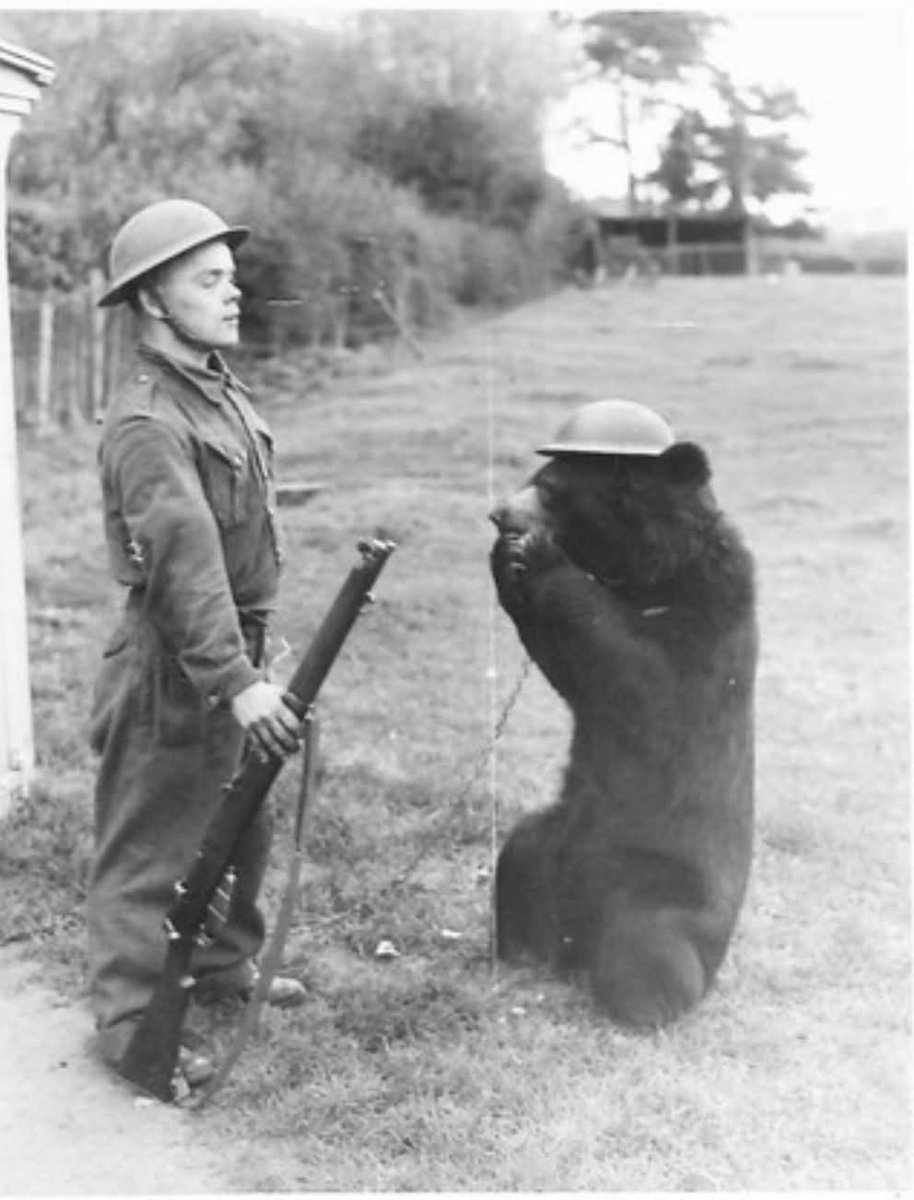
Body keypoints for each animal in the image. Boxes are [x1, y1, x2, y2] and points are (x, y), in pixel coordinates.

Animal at [489, 399, 757, 1029]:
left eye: (552, 488)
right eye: (538, 477)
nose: (497, 515)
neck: (646, 573)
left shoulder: (708, 616)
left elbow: (644, 681)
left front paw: (536, 554)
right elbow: (574, 673)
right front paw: (506, 565)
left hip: (662, 891)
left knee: (650, 950)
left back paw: (643, 1005)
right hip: (550, 837)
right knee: (518, 861)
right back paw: (523, 954)